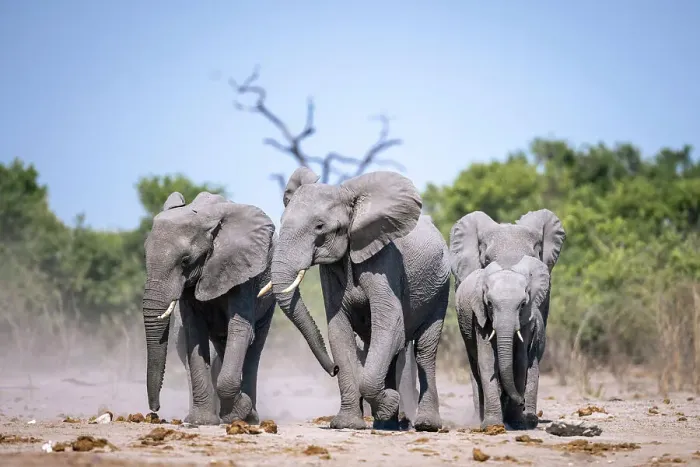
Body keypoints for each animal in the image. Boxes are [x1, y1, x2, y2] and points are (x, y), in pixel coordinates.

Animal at [142, 191, 276, 425]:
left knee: (254, 348)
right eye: (145, 254)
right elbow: (195, 335)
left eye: (185, 260)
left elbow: (240, 329)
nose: (155, 409)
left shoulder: (242, 270)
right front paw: (201, 421)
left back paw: (250, 417)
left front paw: (238, 412)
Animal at [258, 167, 450, 432]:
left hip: (441, 288)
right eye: (282, 221)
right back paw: (386, 424)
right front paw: (347, 423)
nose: (333, 369)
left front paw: (389, 401)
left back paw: (425, 425)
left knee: (424, 351)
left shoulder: (386, 261)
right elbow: (339, 331)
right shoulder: (331, 271)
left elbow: (391, 324)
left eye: (320, 226)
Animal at [449, 209, 566, 429]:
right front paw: (492, 425)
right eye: (486, 260)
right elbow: (487, 361)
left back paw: (528, 419)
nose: (521, 402)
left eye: (534, 257)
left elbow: (520, 360)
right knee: (475, 367)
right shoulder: (480, 318)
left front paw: (518, 421)